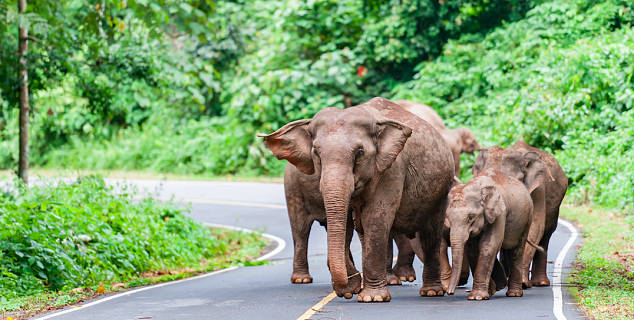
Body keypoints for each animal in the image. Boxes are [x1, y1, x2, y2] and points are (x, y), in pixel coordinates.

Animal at [256, 97, 454, 302]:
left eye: (359, 153)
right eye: (316, 153)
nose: (350, 284)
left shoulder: (392, 169)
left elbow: (375, 219)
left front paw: (372, 298)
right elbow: (347, 225)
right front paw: (351, 290)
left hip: (440, 194)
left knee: (431, 234)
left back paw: (431, 292)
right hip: (292, 187)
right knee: (300, 228)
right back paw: (302, 280)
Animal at [444, 168, 532, 300]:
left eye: (470, 217)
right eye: (447, 217)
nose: (450, 292)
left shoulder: (499, 213)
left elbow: (489, 245)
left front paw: (477, 297)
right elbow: (473, 250)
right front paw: (487, 292)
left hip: (527, 217)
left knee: (516, 251)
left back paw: (514, 294)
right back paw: (499, 287)